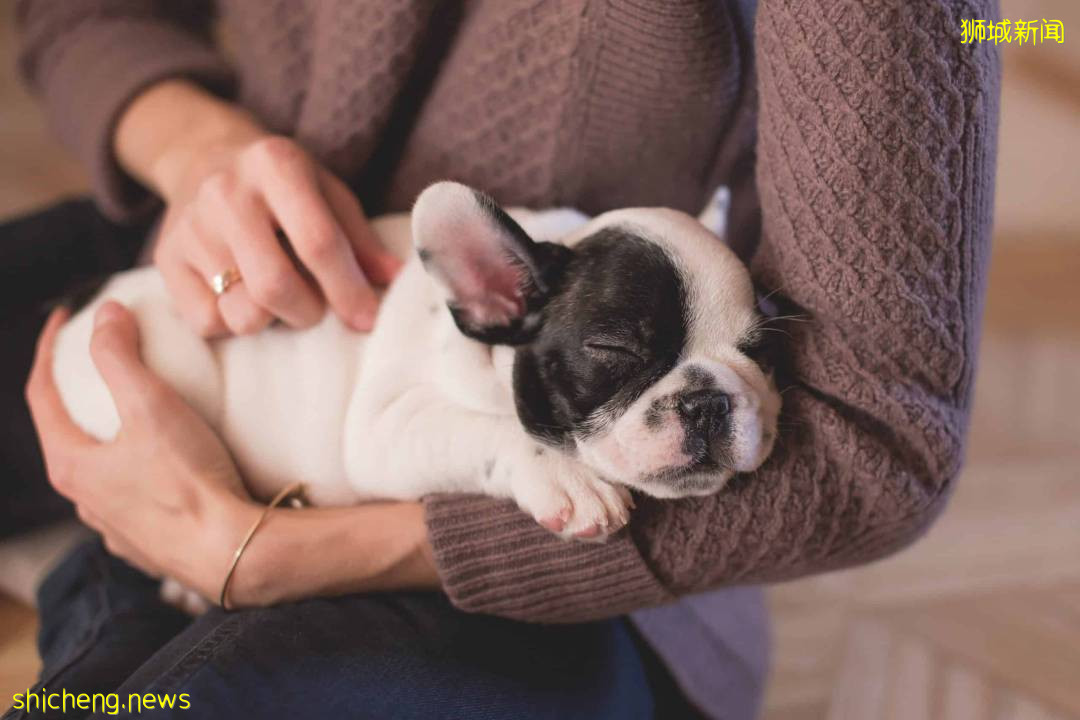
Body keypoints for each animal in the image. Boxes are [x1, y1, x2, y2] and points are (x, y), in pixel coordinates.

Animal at [52, 180, 777, 546]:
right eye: (615, 350)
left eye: (759, 351)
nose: (709, 401)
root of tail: (84, 300)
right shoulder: (385, 428)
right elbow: (489, 429)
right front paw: (567, 478)